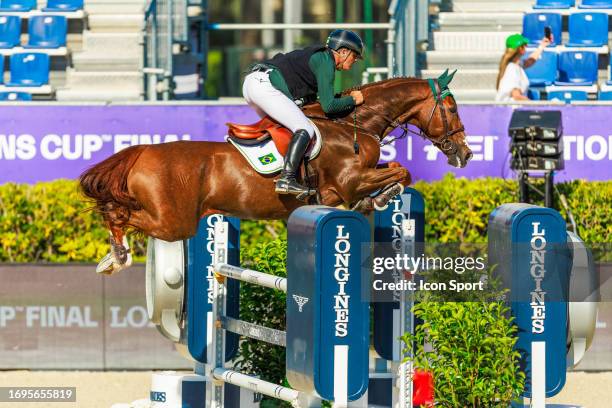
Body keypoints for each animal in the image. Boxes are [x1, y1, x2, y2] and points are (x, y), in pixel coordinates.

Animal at [80, 72, 474, 274]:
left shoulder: (355, 179)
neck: (352, 123)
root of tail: (142, 152)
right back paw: (117, 255)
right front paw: (380, 198)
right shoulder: (349, 182)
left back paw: (113, 256)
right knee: (120, 215)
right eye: (452, 107)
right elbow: (400, 171)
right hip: (174, 222)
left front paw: (375, 200)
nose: (466, 153)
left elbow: (393, 170)